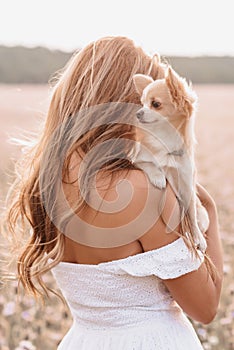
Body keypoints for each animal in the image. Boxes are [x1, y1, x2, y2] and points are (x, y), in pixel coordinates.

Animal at [132, 66, 208, 252]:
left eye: (155, 104)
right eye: (142, 103)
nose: (138, 113)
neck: (165, 137)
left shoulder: (186, 183)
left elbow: (191, 213)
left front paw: (198, 237)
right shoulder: (138, 159)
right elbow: (150, 164)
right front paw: (159, 177)